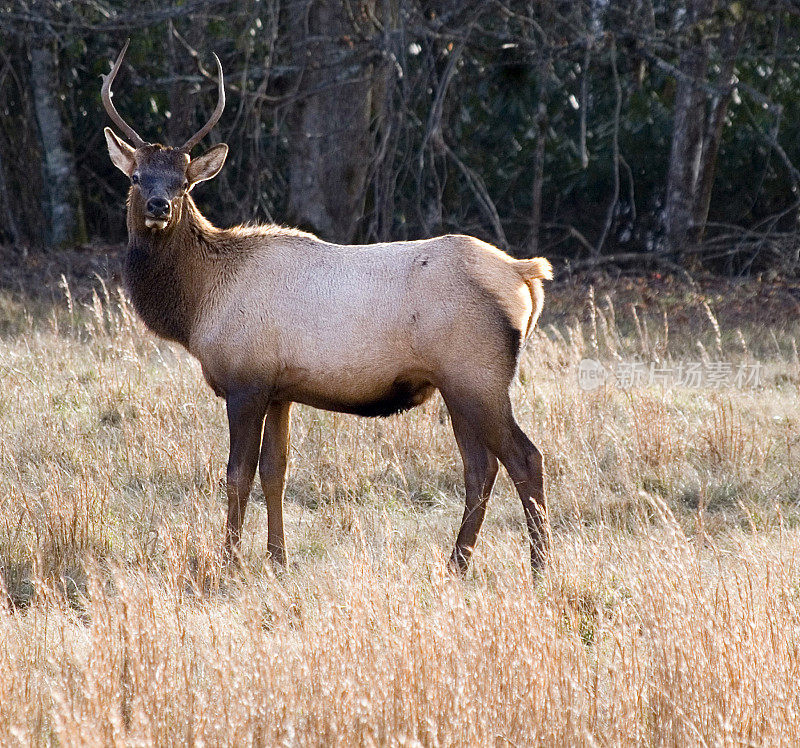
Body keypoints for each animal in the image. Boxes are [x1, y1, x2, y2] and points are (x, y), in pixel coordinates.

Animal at [100, 42, 552, 572]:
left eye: (184, 182)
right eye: (136, 176)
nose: (159, 206)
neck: (198, 305)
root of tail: (525, 275)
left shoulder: (246, 380)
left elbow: (237, 475)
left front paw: (229, 560)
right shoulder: (280, 389)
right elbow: (275, 472)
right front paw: (277, 558)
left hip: (476, 375)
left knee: (525, 459)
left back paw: (539, 566)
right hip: (458, 384)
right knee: (480, 468)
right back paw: (457, 564)